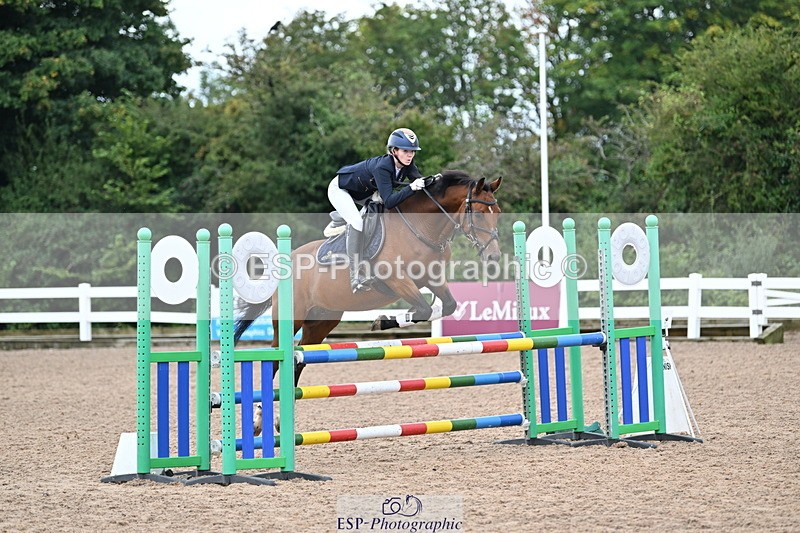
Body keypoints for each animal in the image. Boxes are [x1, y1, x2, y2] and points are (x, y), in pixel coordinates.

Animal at [234, 170, 503, 385]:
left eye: (498, 212)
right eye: (479, 214)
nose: (494, 257)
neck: (420, 227)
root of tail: (284, 263)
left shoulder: (430, 278)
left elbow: (446, 306)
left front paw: (386, 320)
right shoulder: (397, 280)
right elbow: (424, 308)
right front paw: (382, 321)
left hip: (322, 320)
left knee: (299, 357)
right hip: (292, 318)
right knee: (275, 357)